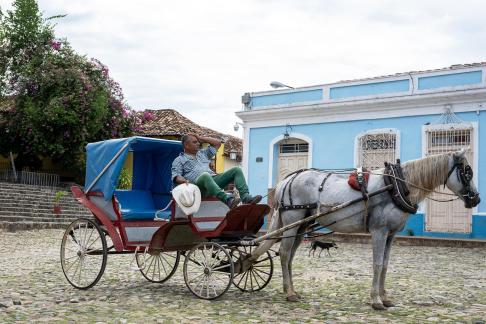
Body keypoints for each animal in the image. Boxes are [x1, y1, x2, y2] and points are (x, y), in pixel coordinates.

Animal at [245, 151, 480, 310]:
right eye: (467, 172)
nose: (476, 199)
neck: (396, 186)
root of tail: (287, 180)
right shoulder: (379, 231)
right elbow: (376, 264)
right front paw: (375, 300)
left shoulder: (391, 235)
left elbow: (385, 265)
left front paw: (385, 297)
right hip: (293, 220)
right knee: (284, 253)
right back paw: (290, 293)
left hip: (302, 225)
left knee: (290, 256)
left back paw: (290, 289)